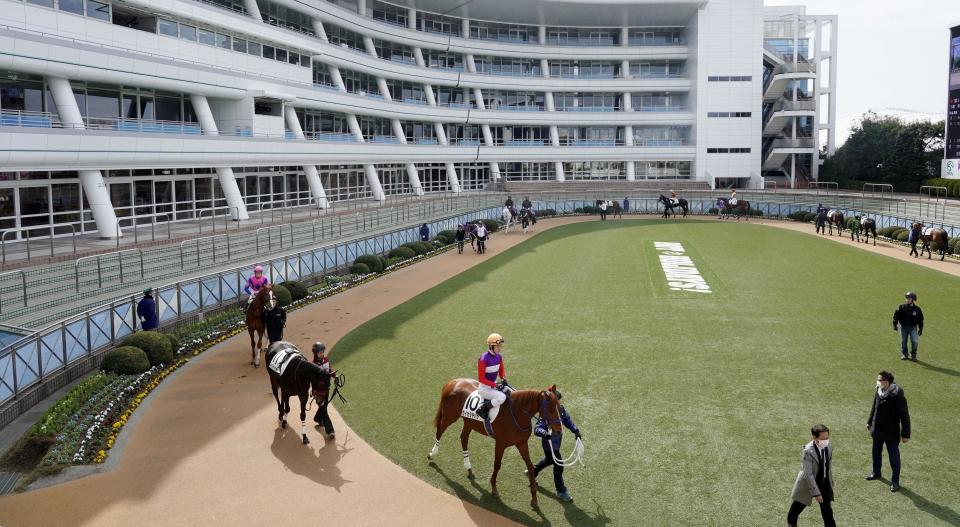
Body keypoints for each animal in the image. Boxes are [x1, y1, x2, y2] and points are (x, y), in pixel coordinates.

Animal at [428, 380, 564, 512]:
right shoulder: (500, 443)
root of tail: (452, 382)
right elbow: (497, 465)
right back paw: (432, 454)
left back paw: (469, 469)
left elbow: (530, 467)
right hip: (449, 416)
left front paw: (534, 499)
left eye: (559, 408)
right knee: (440, 431)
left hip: (469, 421)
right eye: (551, 410)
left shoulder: (521, 443)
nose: (558, 431)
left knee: (463, 438)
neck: (516, 413)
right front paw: (494, 488)